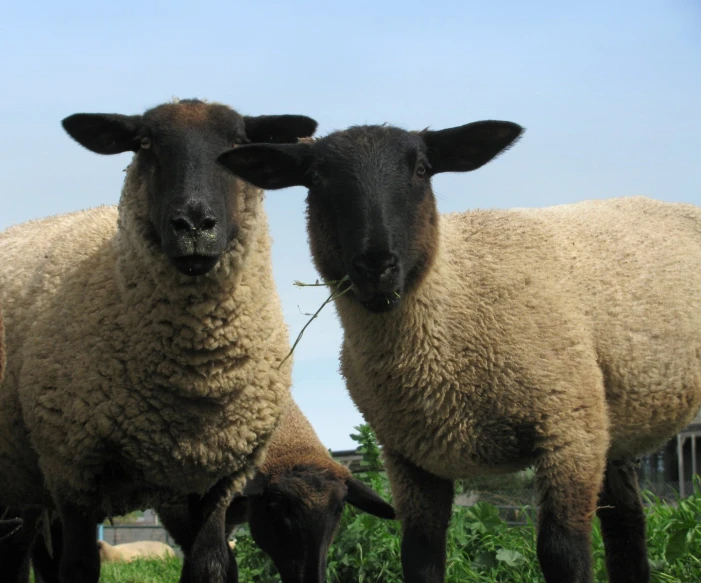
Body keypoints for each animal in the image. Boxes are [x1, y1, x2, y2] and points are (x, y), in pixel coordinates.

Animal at [0, 99, 318, 583]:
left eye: (239, 143)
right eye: (145, 143)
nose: (194, 224)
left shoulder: (217, 481)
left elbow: (211, 564)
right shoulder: (71, 468)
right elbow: (77, 567)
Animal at [217, 124, 700, 583]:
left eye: (421, 169)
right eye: (315, 178)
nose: (376, 265)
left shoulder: (568, 432)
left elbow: (563, 554)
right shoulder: (409, 459)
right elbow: (420, 558)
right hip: (611, 426)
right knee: (628, 525)